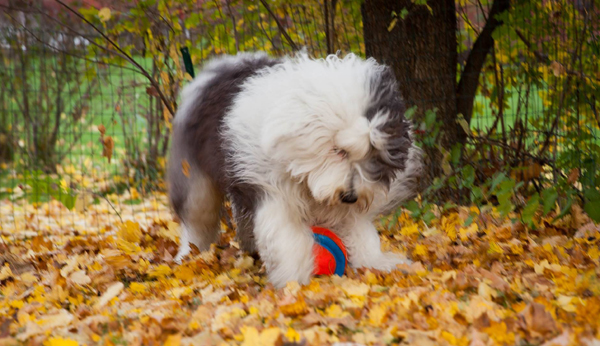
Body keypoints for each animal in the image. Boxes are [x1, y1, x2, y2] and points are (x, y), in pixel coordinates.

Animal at [166, 51, 424, 288]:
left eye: (373, 153)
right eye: (338, 150)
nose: (350, 196)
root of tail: (221, 65)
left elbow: (359, 230)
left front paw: (378, 262)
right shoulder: (272, 189)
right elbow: (285, 235)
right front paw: (293, 277)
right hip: (194, 174)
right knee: (198, 216)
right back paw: (189, 255)